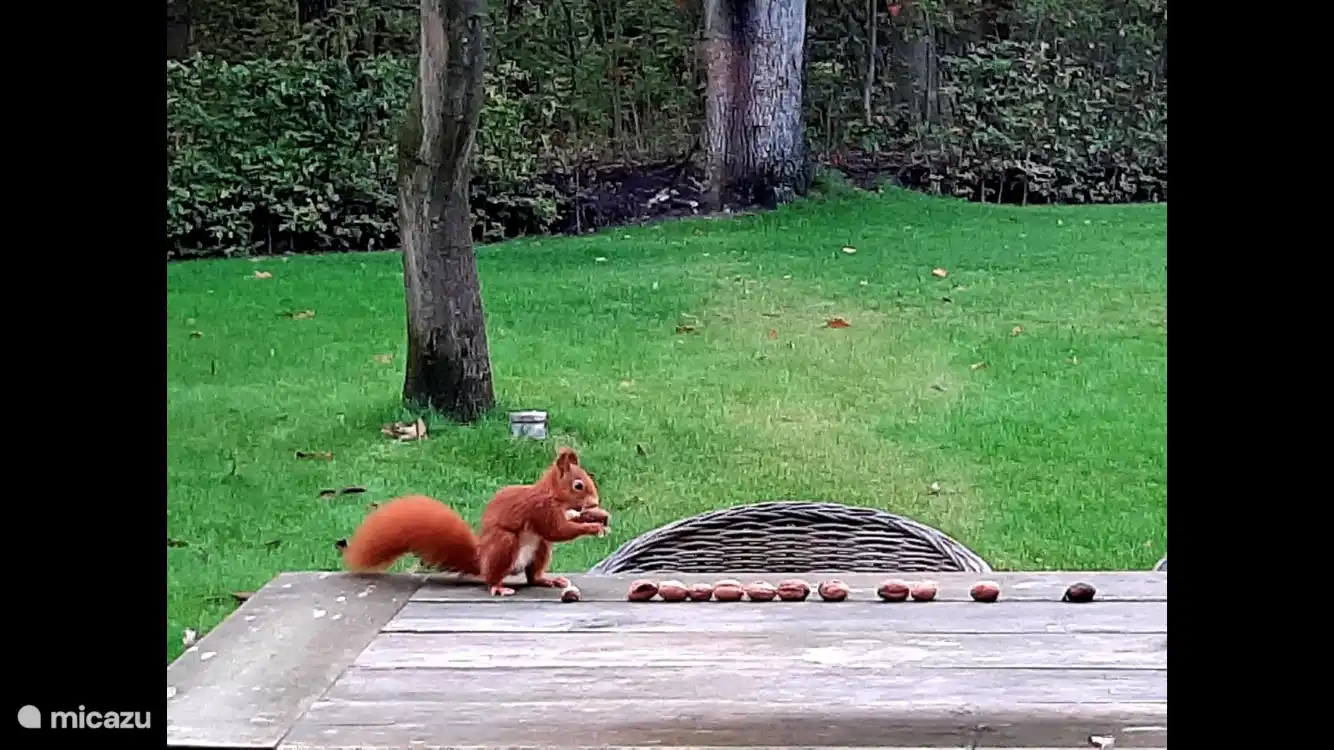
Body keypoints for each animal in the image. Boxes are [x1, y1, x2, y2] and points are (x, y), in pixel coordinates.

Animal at [339, 446, 608, 596]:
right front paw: (593, 526)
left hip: (539, 548)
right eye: (578, 485)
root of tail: (482, 561)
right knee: (492, 578)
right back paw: (498, 586)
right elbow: (558, 530)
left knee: (533, 576)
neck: (551, 495)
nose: (595, 501)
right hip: (504, 544)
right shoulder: (539, 509)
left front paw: (600, 516)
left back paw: (547, 579)